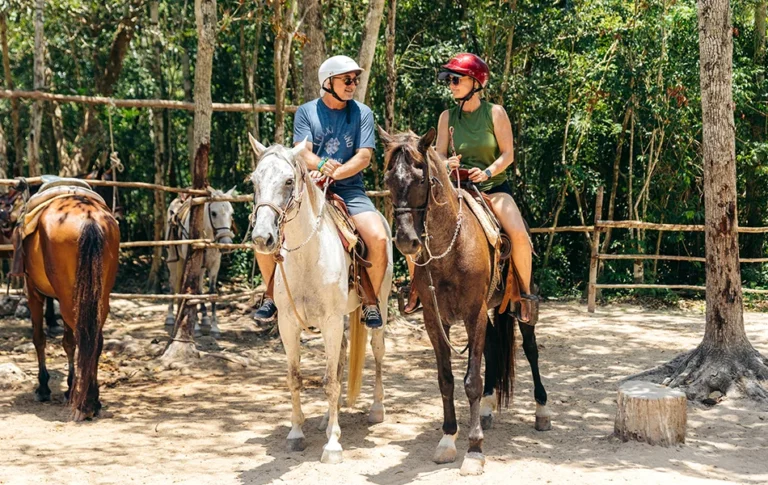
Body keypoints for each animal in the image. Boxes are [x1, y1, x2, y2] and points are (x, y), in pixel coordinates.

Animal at [20, 191, 120, 418]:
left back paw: (86, 404)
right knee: (94, 341)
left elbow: (39, 339)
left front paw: (43, 388)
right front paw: (69, 387)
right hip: (96, 298)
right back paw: (93, 400)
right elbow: (68, 342)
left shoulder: (33, 292)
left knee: (85, 338)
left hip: (68, 298)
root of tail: (89, 218)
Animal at [162, 186, 234, 336]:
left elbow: (211, 292)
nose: (226, 244)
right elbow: (192, 290)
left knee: (199, 287)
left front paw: (214, 327)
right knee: (173, 283)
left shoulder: (214, 265)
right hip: (173, 260)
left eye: (231, 213)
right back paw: (171, 317)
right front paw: (194, 327)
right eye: (213, 213)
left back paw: (204, 317)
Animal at [249, 134, 392, 464]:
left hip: (379, 304)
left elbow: (330, 382)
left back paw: (376, 409)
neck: (307, 257)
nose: (263, 237)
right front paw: (296, 433)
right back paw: (330, 418)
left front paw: (333, 445)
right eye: (254, 181)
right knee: (341, 357)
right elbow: (296, 377)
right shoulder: (289, 325)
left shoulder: (330, 322)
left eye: (289, 181)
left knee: (377, 350)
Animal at [380, 126, 548, 474]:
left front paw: (474, 449)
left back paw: (542, 411)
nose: (406, 241)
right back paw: (486, 408)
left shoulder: (473, 313)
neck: (450, 248)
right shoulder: (435, 319)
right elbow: (446, 379)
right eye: (388, 178)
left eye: (422, 178)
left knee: (530, 349)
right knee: (494, 350)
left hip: (519, 305)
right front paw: (447, 439)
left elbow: (471, 380)